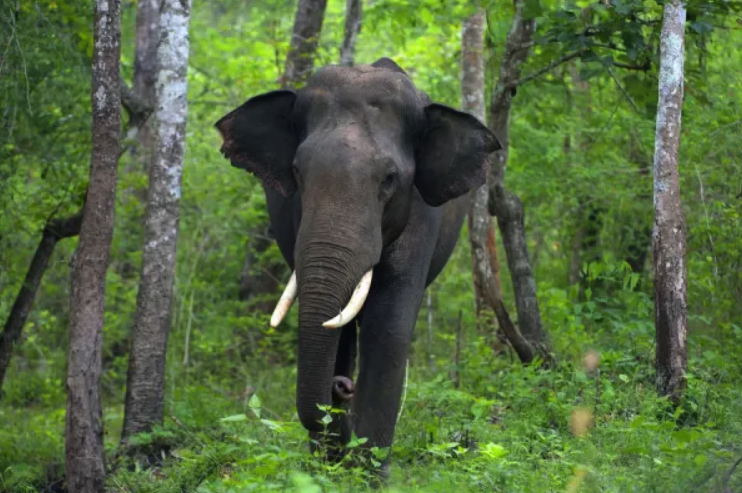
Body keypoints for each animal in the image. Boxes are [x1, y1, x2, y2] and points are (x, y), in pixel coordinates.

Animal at [215, 57, 499, 469]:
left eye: (390, 178)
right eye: (297, 172)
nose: (341, 388)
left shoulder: (420, 216)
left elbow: (389, 327)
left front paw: (367, 470)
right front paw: (331, 466)